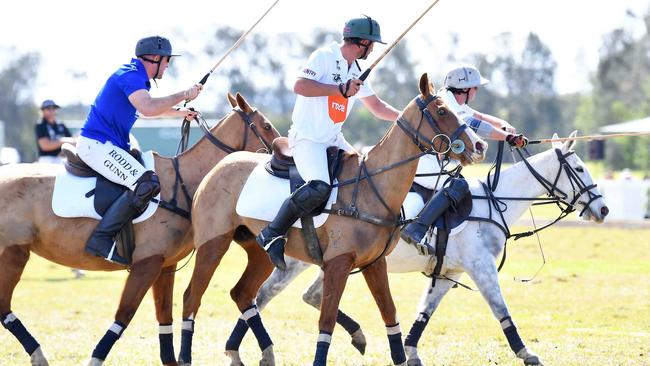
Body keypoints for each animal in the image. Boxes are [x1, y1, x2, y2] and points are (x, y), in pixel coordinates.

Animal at [0, 93, 278, 364]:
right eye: (266, 126)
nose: (279, 156)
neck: (185, 183)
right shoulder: (147, 263)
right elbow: (126, 312)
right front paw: (96, 359)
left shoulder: (165, 265)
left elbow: (164, 316)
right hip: (13, 253)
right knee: (4, 305)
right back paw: (38, 354)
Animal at [177, 73, 486, 366]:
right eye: (443, 111)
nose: (480, 145)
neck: (373, 187)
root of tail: (216, 167)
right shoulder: (338, 263)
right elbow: (326, 319)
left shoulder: (375, 263)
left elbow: (389, 313)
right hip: (213, 244)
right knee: (192, 296)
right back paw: (185, 356)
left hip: (259, 253)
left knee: (242, 293)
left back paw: (258, 353)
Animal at [239, 131, 608, 366]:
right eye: (579, 168)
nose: (603, 209)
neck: (494, 200)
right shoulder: (481, 267)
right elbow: (502, 311)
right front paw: (528, 354)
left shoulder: (447, 272)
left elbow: (423, 314)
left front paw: (411, 353)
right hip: (296, 260)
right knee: (261, 296)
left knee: (303, 295)